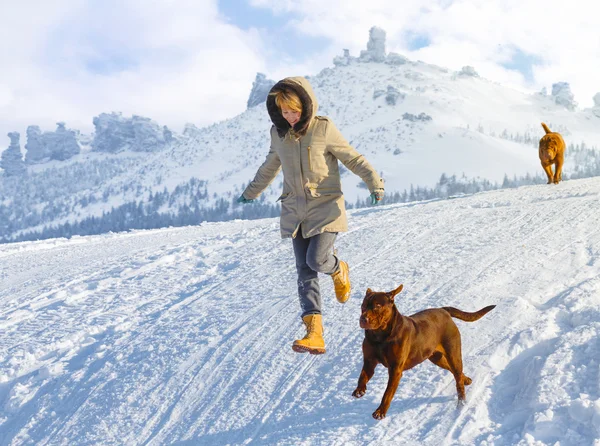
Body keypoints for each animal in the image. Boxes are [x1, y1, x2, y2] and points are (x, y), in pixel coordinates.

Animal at [354, 284, 494, 420]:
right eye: (363, 306)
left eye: (377, 306)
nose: (363, 319)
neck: (380, 337)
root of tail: (444, 310)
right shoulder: (369, 361)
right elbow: (362, 376)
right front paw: (359, 390)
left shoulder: (395, 369)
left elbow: (387, 393)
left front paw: (380, 412)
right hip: (437, 358)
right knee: (456, 372)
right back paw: (466, 380)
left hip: (453, 353)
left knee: (458, 379)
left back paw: (461, 403)